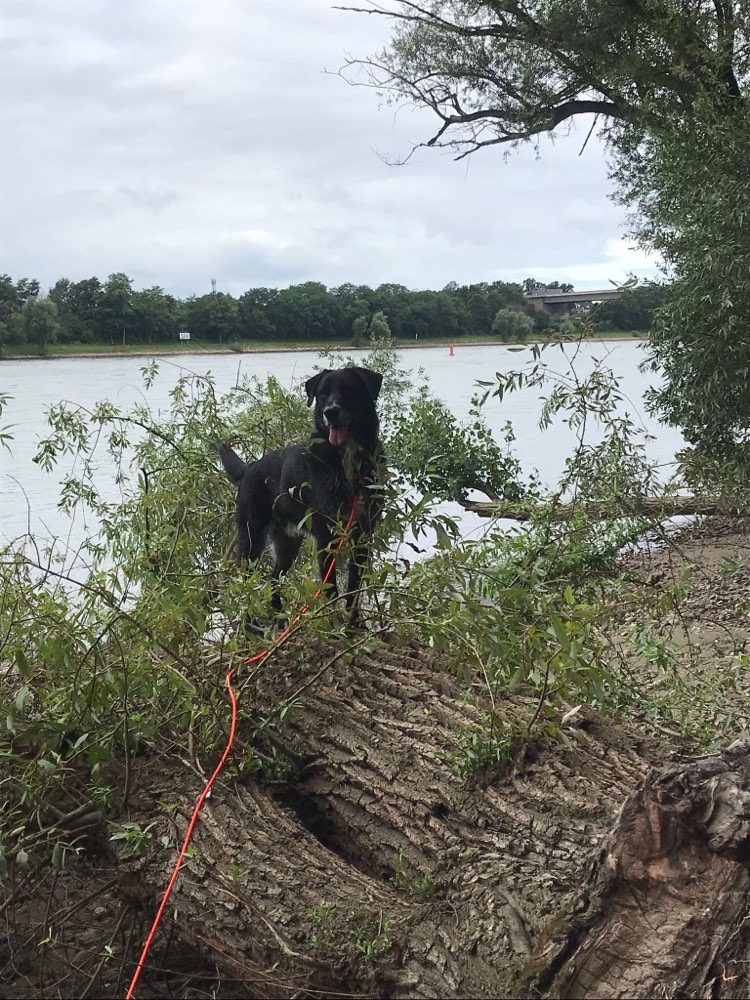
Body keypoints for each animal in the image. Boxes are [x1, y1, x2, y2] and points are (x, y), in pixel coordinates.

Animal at [217, 364, 382, 620]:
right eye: (322, 393)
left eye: (349, 389)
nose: (330, 412)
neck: (347, 457)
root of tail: (250, 467)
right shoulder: (326, 536)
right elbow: (330, 588)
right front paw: (332, 624)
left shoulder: (363, 533)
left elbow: (354, 587)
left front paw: (354, 624)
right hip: (252, 539)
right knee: (248, 584)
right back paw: (250, 622)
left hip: (288, 544)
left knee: (273, 578)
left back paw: (278, 619)